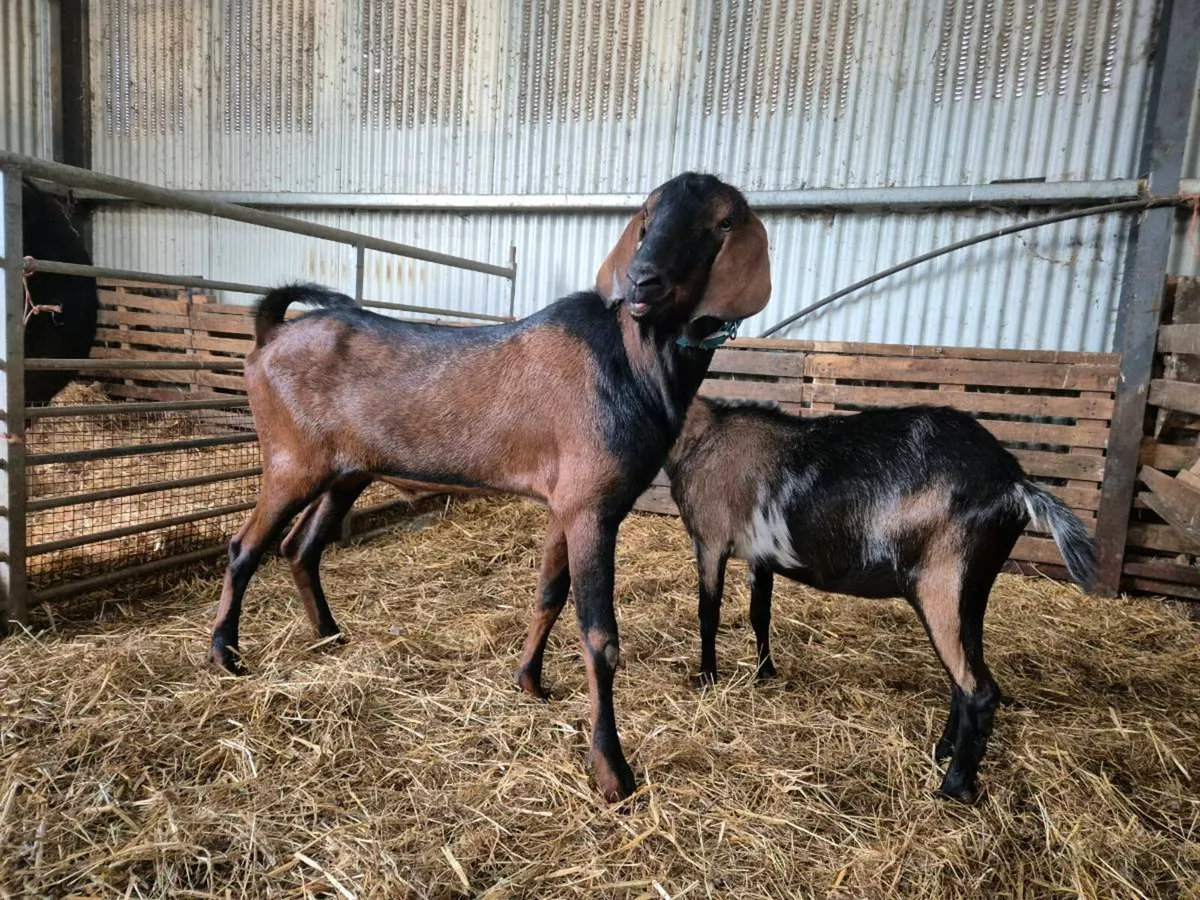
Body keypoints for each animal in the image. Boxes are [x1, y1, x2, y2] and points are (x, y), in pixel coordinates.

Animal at [208, 172, 771, 802]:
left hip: (346, 471)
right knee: (245, 546)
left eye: (723, 222)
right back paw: (226, 656)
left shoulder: (568, 503)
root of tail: (269, 336)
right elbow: (600, 635)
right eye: (647, 216)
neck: (630, 359)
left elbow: (549, 594)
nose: (642, 281)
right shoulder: (592, 506)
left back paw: (330, 636)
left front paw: (530, 683)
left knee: (300, 547)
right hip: (291, 462)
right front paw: (612, 771)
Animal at [664, 398, 1097, 803]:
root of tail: (1016, 483)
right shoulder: (760, 555)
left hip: (942, 583)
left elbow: (708, 612)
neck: (703, 435)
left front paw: (706, 678)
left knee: (979, 690)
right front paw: (765, 673)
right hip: (970, 594)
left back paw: (953, 787)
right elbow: (760, 613)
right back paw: (941, 751)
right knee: (962, 680)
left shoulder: (710, 540)